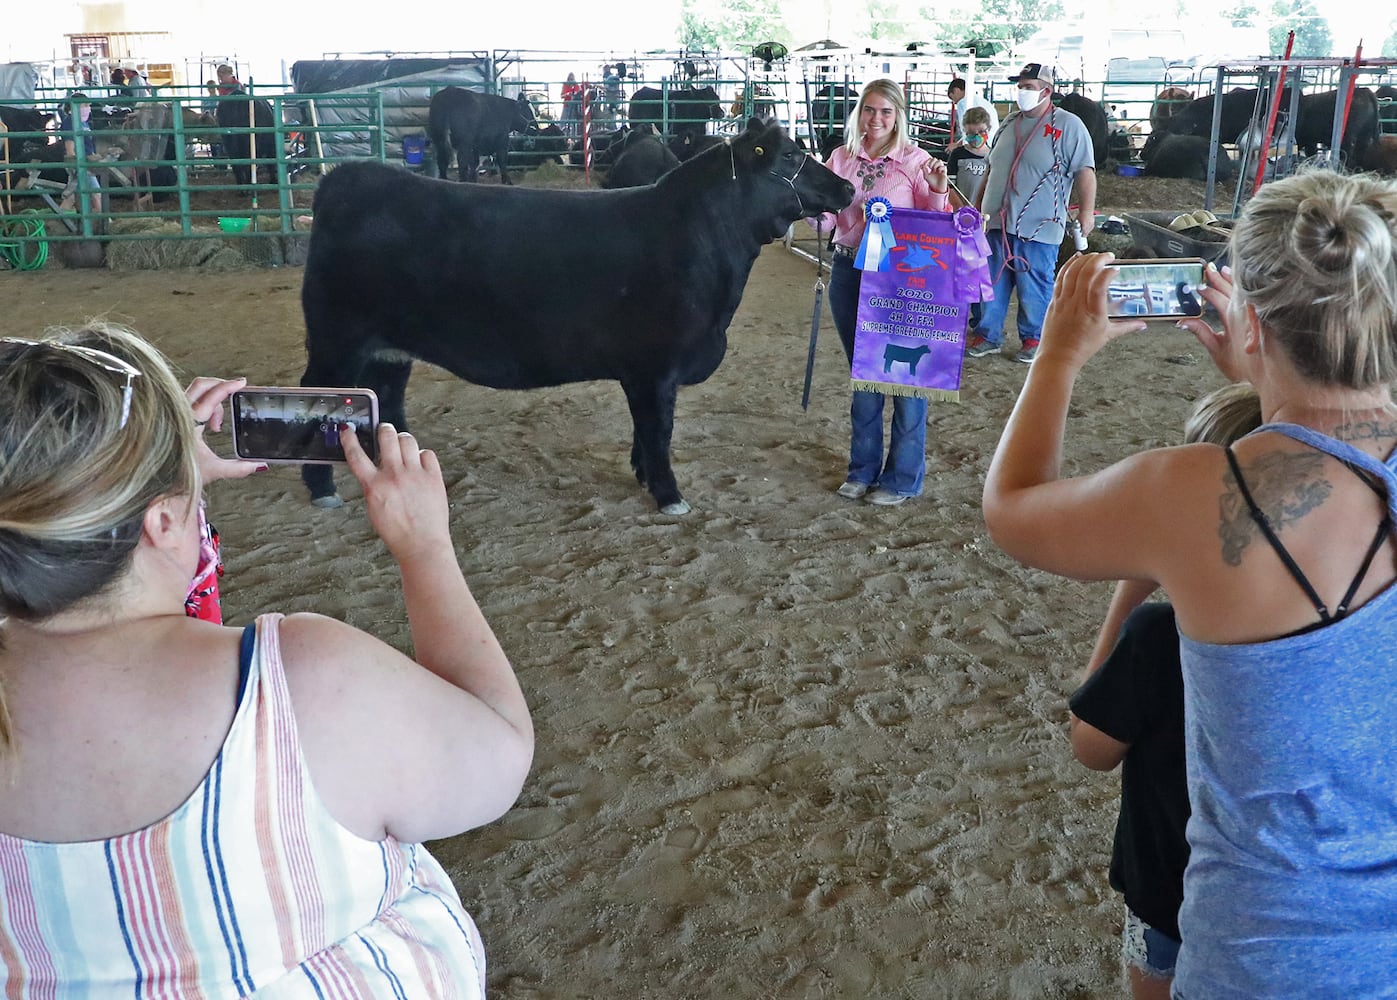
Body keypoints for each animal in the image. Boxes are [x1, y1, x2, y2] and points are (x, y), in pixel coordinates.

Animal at [300, 122, 854, 516]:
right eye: (789, 157)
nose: (848, 187)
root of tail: (346, 178)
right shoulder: (656, 368)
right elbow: (659, 430)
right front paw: (669, 495)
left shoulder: (644, 373)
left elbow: (643, 431)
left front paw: (642, 476)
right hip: (336, 342)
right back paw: (322, 487)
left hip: (390, 348)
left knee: (388, 397)